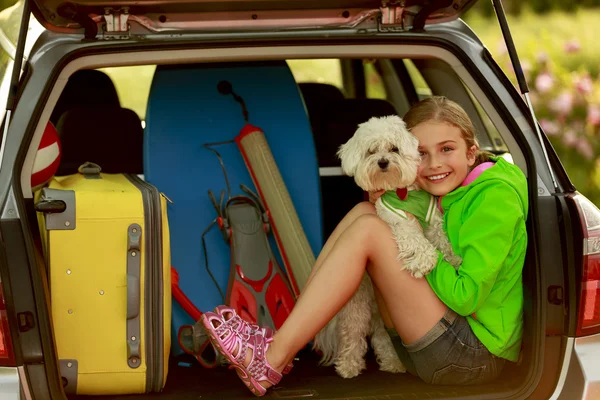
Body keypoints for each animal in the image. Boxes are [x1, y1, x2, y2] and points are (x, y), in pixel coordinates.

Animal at [314, 115, 460, 378]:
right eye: (371, 151)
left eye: (394, 149)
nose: (382, 162)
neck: (400, 191)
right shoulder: (397, 218)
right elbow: (413, 236)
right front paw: (424, 260)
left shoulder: (432, 218)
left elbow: (441, 238)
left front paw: (453, 258)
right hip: (358, 305)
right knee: (353, 336)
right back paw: (349, 366)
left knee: (382, 337)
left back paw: (393, 363)